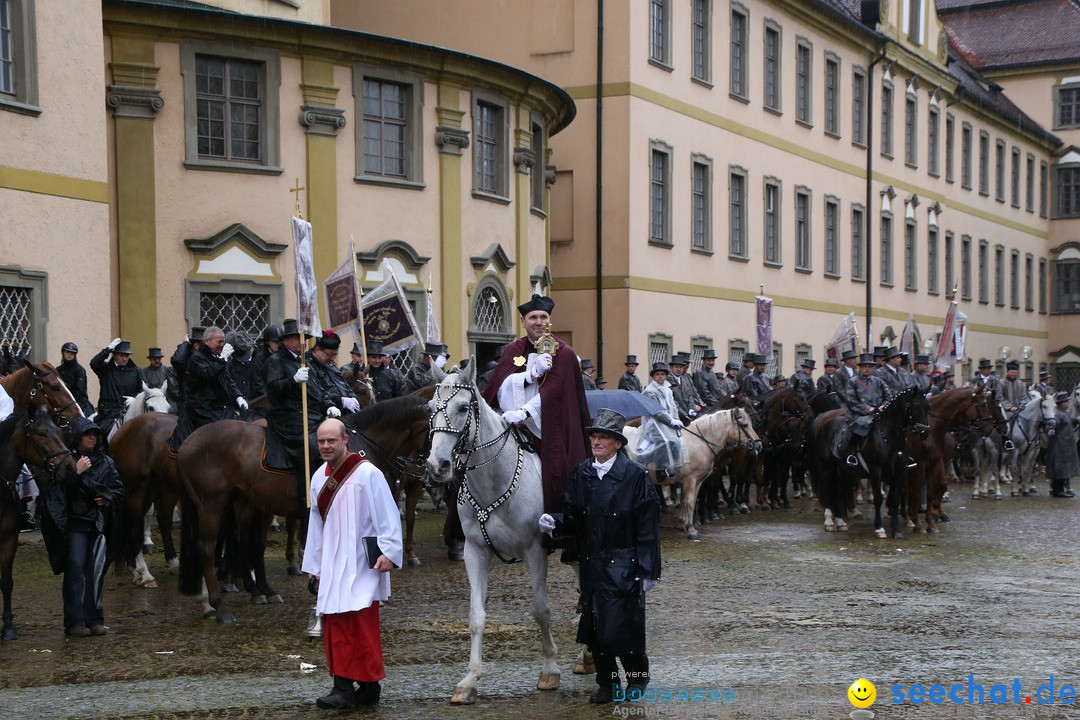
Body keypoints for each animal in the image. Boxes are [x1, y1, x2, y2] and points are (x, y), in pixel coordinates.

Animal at [0, 408, 78, 639]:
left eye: (58, 432)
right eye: (41, 433)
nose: (70, 468)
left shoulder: (9, 539)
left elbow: (6, 581)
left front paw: (8, 626)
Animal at [176, 395, 429, 626]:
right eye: (432, 429)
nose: (431, 470)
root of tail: (187, 443)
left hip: (246, 503)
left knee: (244, 542)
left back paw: (254, 593)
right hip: (211, 505)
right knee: (207, 549)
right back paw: (219, 607)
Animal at [421, 360, 557, 703]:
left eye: (462, 407)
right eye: (429, 407)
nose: (437, 465)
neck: (494, 479)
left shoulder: (535, 550)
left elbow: (541, 610)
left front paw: (550, 669)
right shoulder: (475, 551)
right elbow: (476, 617)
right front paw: (469, 680)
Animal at [622, 410, 764, 539]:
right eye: (745, 425)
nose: (758, 445)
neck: (697, 442)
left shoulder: (697, 481)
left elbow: (690, 501)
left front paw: (684, 524)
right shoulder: (690, 480)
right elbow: (690, 502)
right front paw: (691, 529)